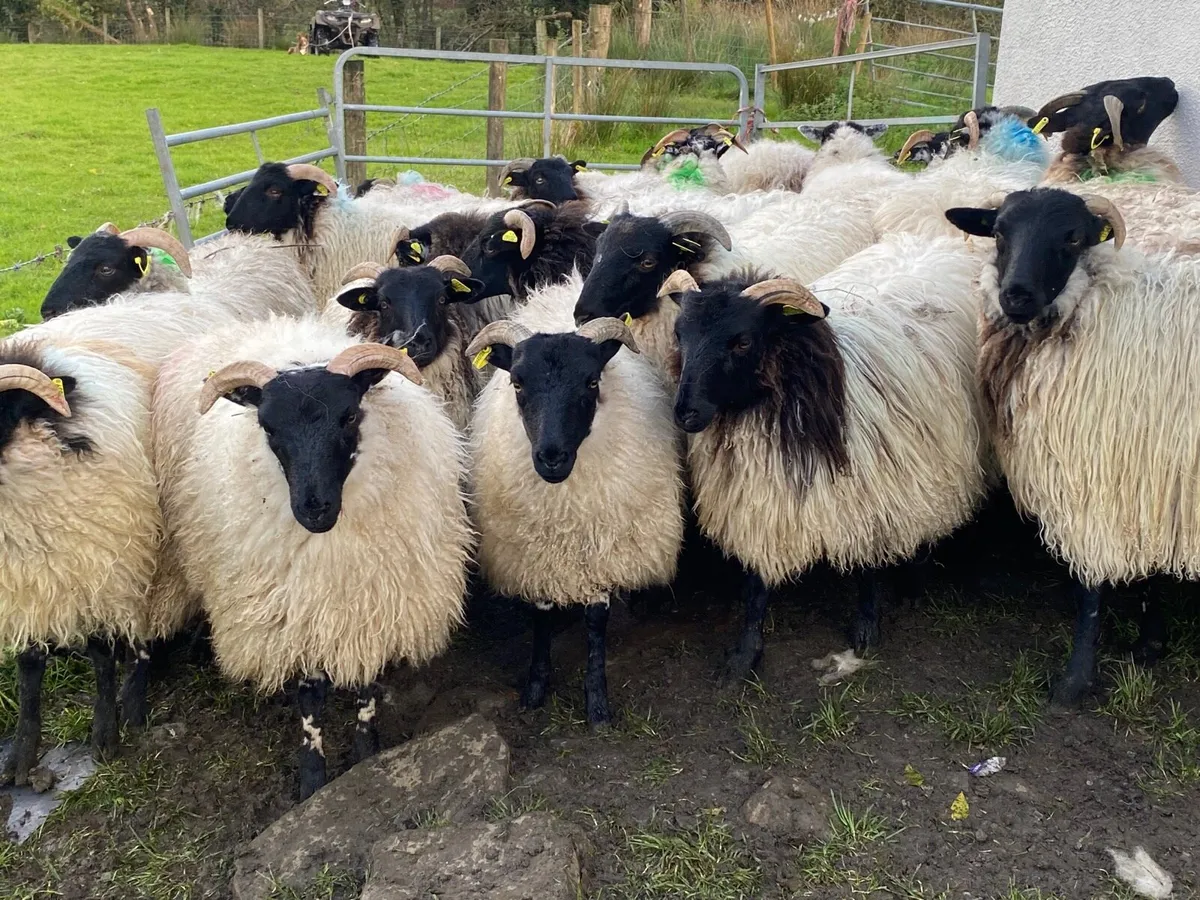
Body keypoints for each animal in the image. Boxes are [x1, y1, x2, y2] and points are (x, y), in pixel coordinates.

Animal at [154, 319, 472, 797]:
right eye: (267, 427)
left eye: (350, 415)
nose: (313, 508)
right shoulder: (296, 613)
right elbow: (309, 697)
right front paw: (312, 778)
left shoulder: (376, 605)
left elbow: (366, 683)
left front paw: (365, 753)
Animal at [465, 276, 684, 725]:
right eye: (517, 383)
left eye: (591, 382)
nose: (552, 456)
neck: (564, 512)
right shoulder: (535, 554)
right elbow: (541, 617)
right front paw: (535, 687)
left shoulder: (603, 551)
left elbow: (596, 623)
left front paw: (596, 701)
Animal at [663, 233, 985, 673]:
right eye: (681, 336)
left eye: (742, 341)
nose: (685, 412)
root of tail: (936, 240)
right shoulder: (762, 499)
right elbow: (756, 586)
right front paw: (745, 654)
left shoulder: (874, 493)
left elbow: (868, 568)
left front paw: (866, 630)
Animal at [946, 187, 1200, 705]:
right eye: (998, 231)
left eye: (1073, 237)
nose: (1016, 295)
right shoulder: (1148, 474)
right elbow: (1150, 573)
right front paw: (1150, 644)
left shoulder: (1095, 477)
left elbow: (1090, 588)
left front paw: (1074, 681)